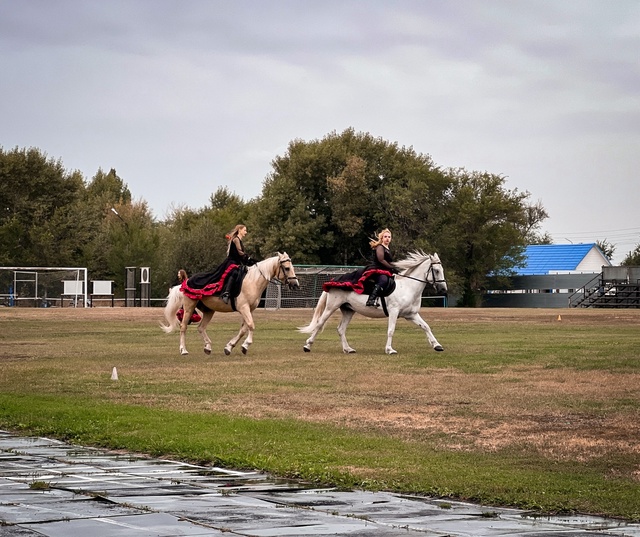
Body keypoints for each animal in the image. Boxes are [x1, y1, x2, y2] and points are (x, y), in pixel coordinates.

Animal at [161, 251, 298, 356]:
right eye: (287, 268)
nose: (295, 284)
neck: (253, 281)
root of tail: (186, 281)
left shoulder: (249, 310)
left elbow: (243, 329)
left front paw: (229, 347)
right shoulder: (244, 308)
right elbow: (250, 325)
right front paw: (246, 345)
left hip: (209, 310)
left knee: (201, 327)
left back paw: (208, 347)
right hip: (189, 307)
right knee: (183, 327)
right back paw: (183, 350)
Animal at [298, 252, 444, 354]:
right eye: (436, 271)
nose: (443, 289)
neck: (408, 287)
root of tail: (335, 280)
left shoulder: (411, 315)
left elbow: (426, 326)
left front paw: (437, 345)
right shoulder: (394, 312)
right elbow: (391, 330)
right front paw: (389, 349)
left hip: (348, 310)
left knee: (341, 329)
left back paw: (348, 349)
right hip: (331, 307)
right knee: (319, 324)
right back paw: (307, 346)